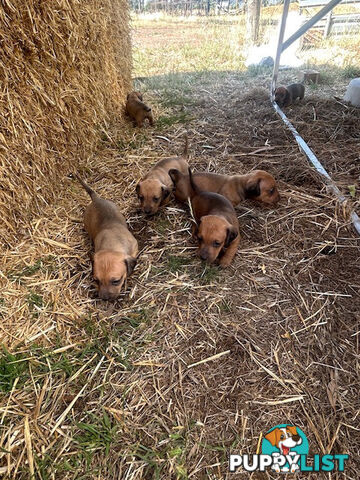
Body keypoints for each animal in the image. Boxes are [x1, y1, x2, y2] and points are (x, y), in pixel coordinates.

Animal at [75, 174, 139, 302]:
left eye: (116, 281)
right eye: (96, 280)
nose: (105, 298)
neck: (112, 245)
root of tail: (96, 199)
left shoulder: (135, 247)